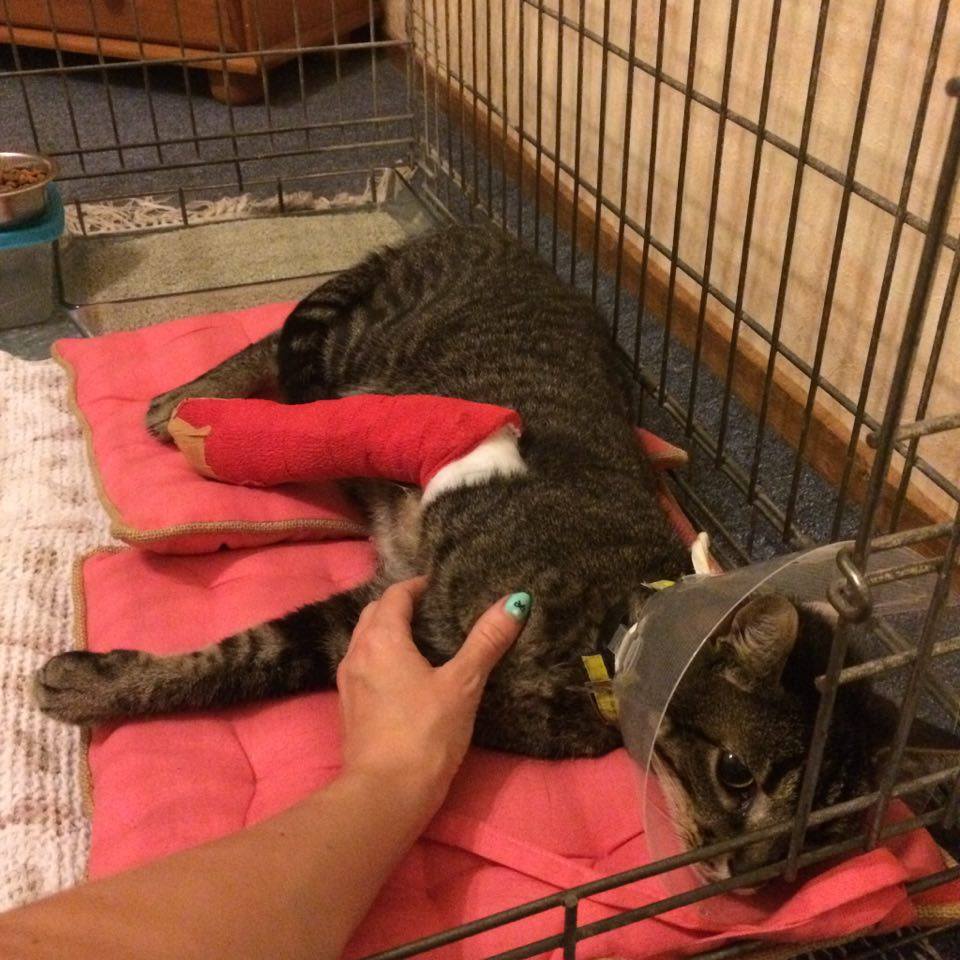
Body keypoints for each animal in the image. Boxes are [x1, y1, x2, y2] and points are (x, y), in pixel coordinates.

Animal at [33, 223, 956, 876]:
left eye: (823, 832)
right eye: (738, 773)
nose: (749, 872)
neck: (598, 649)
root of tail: (481, 231)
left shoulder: (383, 627)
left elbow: (257, 654)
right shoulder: (398, 613)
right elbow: (237, 656)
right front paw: (96, 686)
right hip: (346, 351)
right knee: (274, 350)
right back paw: (190, 402)